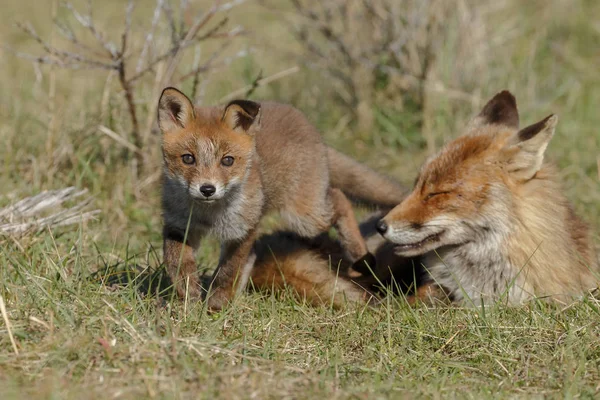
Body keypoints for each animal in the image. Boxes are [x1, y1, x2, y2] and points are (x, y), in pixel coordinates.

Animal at [157, 88, 406, 310]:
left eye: (227, 161)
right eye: (188, 159)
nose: (207, 189)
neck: (209, 216)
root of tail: (302, 119)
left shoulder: (242, 230)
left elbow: (228, 272)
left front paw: (215, 306)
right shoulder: (178, 227)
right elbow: (177, 264)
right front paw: (188, 299)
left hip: (306, 218)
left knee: (339, 198)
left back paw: (360, 256)